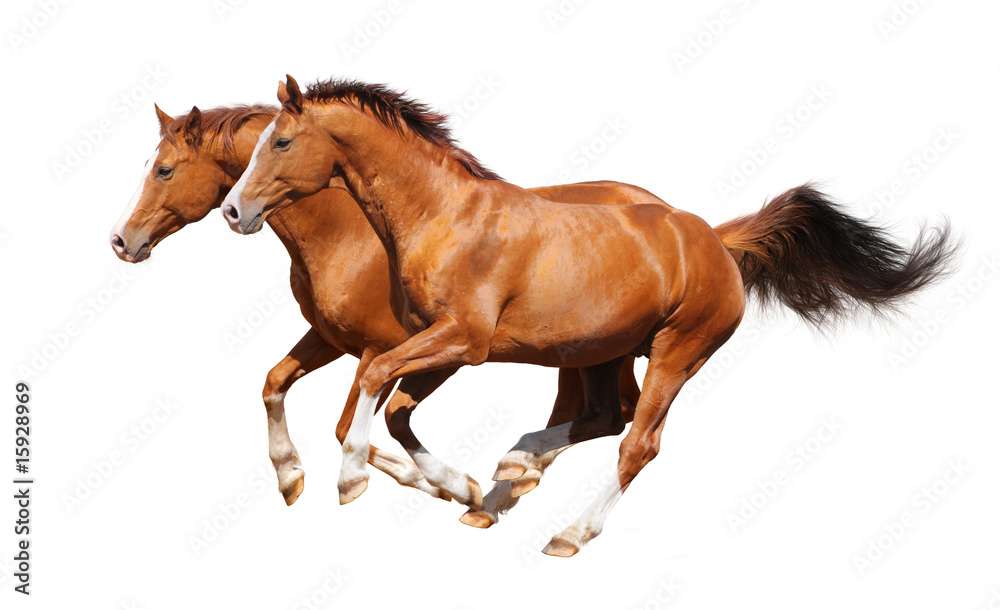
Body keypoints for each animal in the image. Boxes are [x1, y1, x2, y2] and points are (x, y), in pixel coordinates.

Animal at [108, 103, 681, 525]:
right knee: (606, 412)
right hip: (592, 351)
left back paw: (508, 487)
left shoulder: (389, 348)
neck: (347, 231)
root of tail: (673, 215)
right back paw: (511, 486)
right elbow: (275, 383)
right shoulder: (329, 338)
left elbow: (352, 425)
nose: (119, 240)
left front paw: (443, 486)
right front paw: (291, 477)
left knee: (611, 415)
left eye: (163, 170)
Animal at [222, 75, 958, 556]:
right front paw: (461, 485)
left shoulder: (461, 341)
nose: (233, 210)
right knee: (606, 416)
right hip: (600, 351)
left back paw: (565, 532)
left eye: (280, 142)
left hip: (677, 352)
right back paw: (509, 474)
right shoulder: (433, 341)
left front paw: (348, 482)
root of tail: (713, 241)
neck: (442, 218)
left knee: (638, 443)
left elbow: (375, 389)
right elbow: (390, 404)